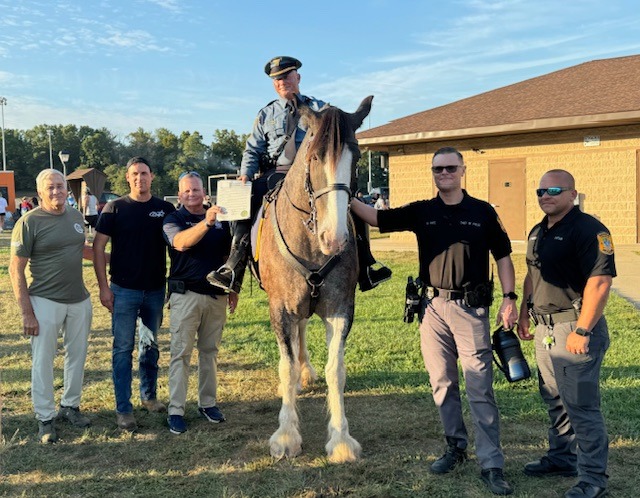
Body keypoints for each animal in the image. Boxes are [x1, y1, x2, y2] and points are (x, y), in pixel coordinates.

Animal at [256, 94, 372, 462]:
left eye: (357, 157)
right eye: (315, 157)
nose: (334, 239)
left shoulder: (340, 309)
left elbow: (337, 370)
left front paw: (341, 439)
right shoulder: (280, 309)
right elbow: (286, 365)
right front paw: (286, 435)